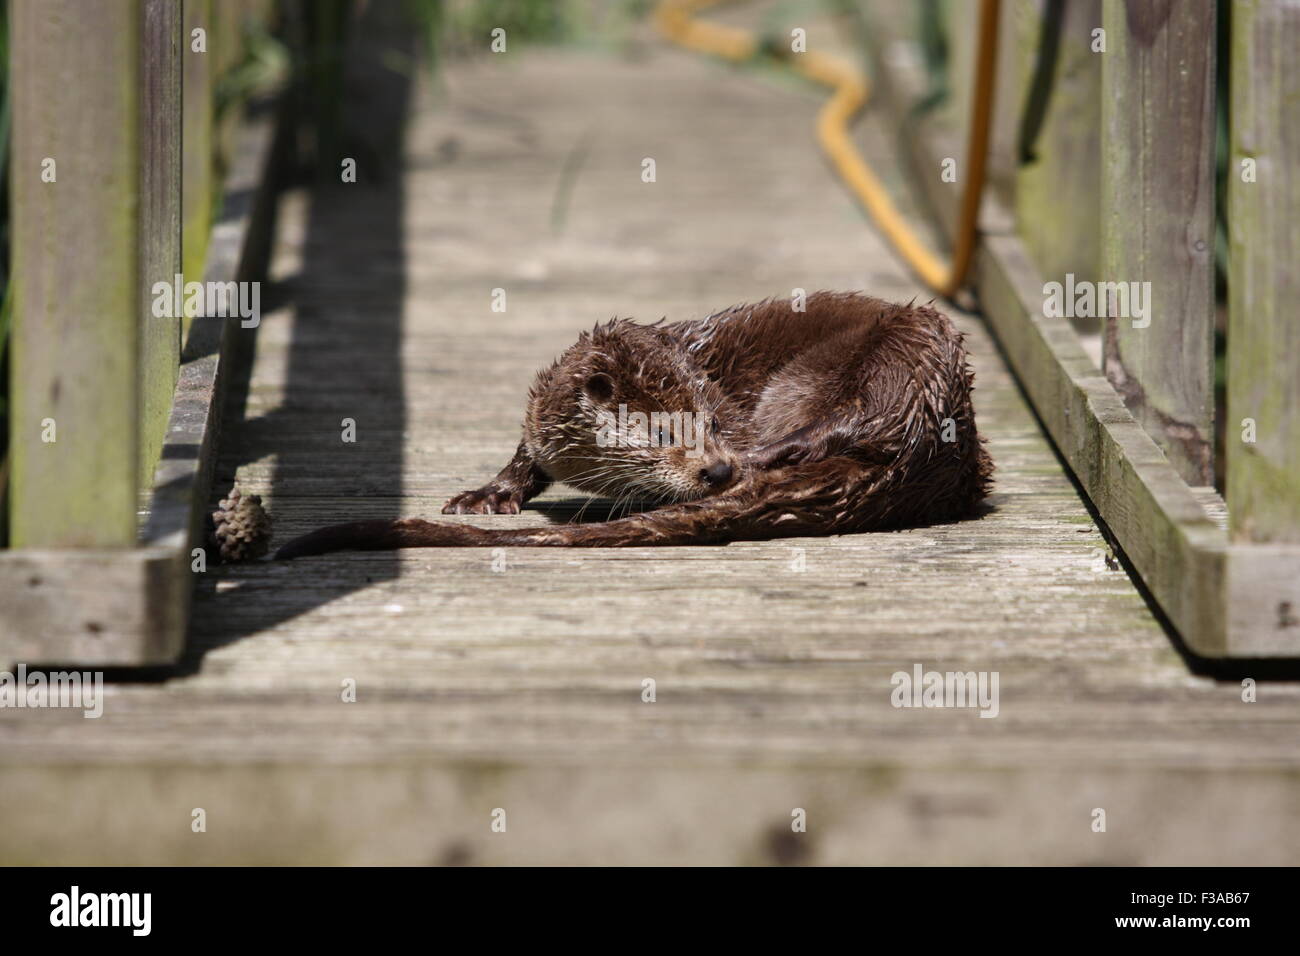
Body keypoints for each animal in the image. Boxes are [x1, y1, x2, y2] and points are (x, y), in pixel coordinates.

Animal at [276, 295, 993, 556]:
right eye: (664, 434)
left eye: (713, 423)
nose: (718, 467)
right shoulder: (540, 422)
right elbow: (525, 456)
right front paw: (488, 494)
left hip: (898, 358)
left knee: (847, 422)